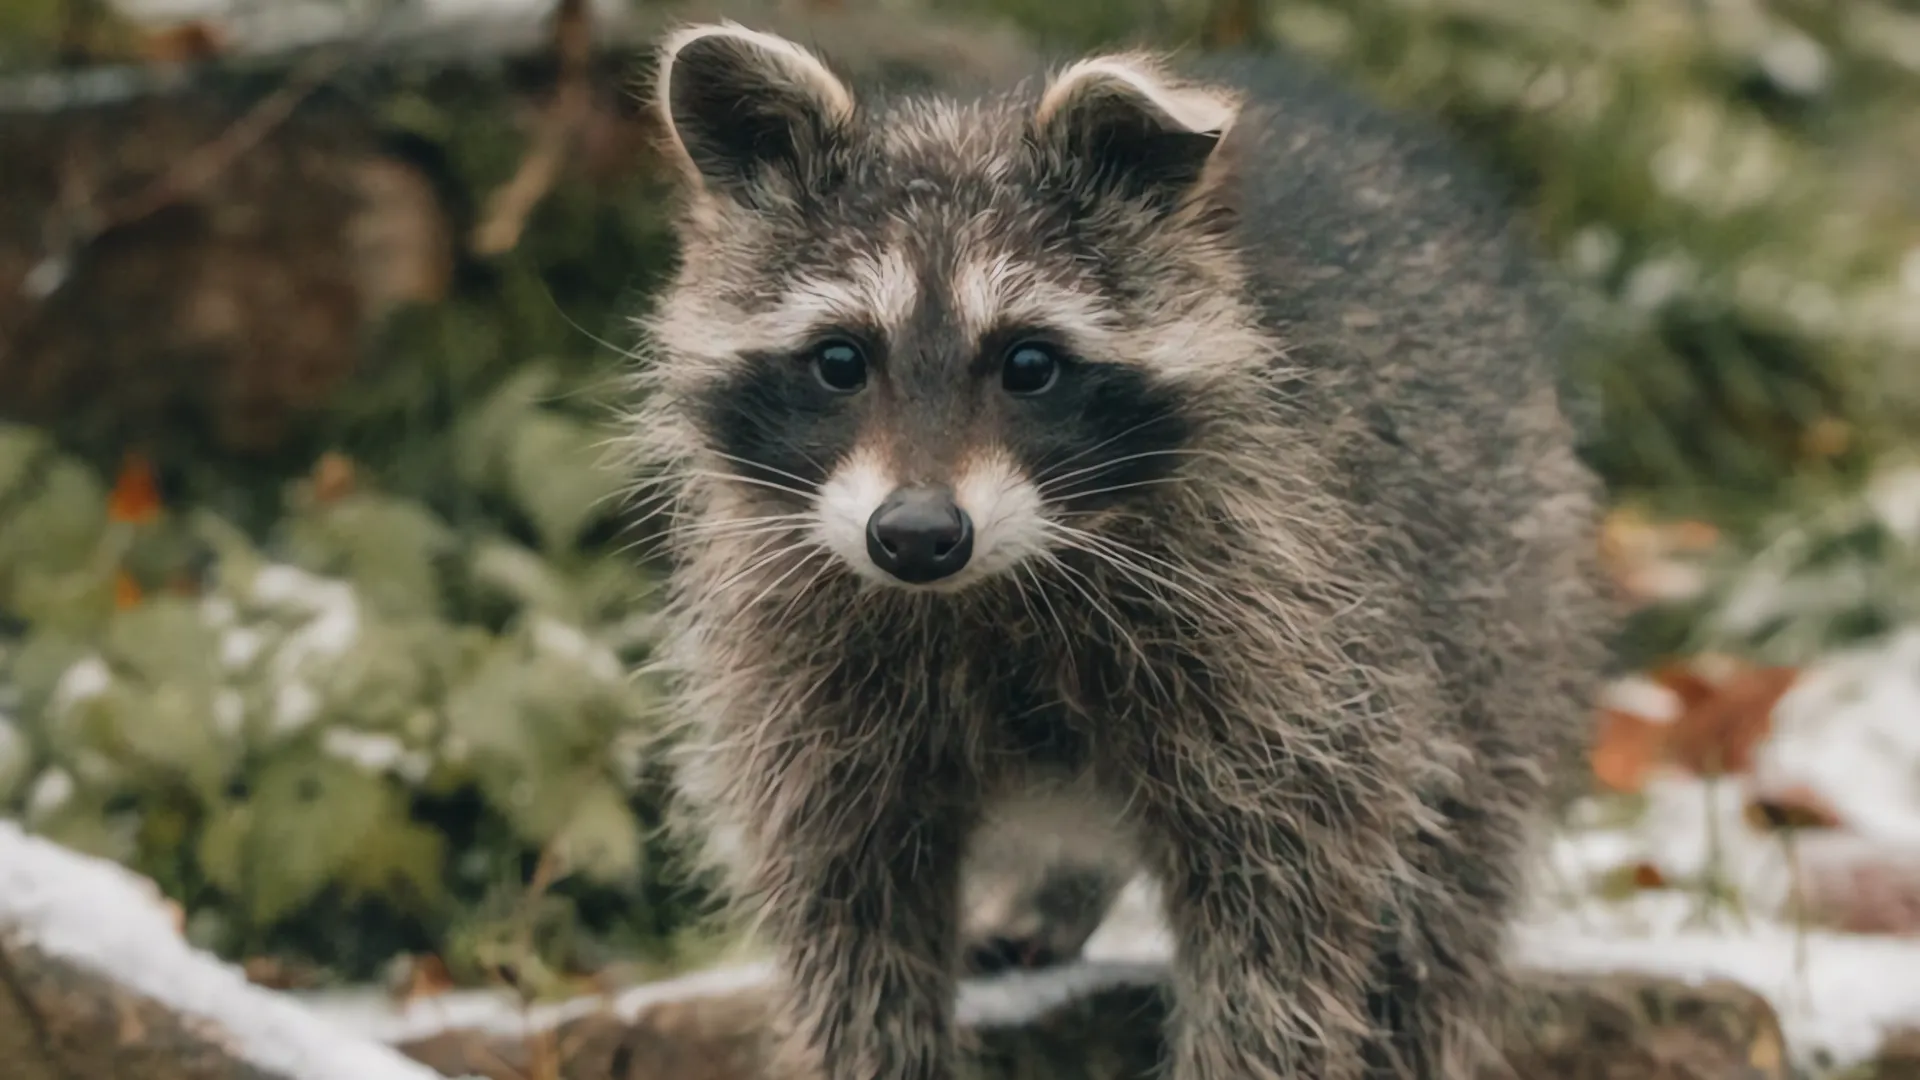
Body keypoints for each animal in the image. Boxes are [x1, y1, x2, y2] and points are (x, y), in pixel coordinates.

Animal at [625, 23, 1605, 1076]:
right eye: (841, 360)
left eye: (1029, 364)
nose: (917, 536)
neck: (985, 591)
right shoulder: (805, 683)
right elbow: (848, 921)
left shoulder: (1293, 626)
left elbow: (1283, 917)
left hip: (1496, 574)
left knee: (1449, 888)